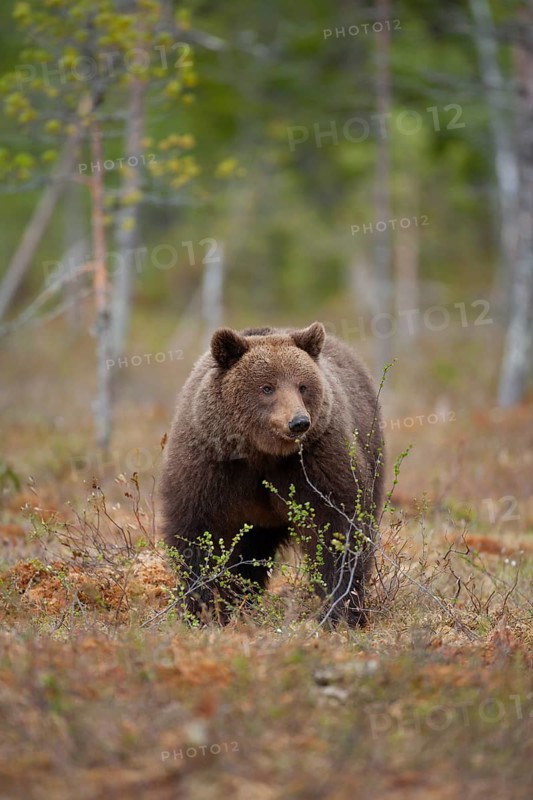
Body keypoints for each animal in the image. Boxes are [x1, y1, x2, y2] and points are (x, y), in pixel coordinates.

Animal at [159, 322, 385, 625]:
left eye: (303, 386)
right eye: (267, 387)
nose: (298, 422)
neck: (261, 454)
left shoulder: (317, 461)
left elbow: (337, 528)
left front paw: (340, 609)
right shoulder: (210, 465)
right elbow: (199, 533)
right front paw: (205, 608)